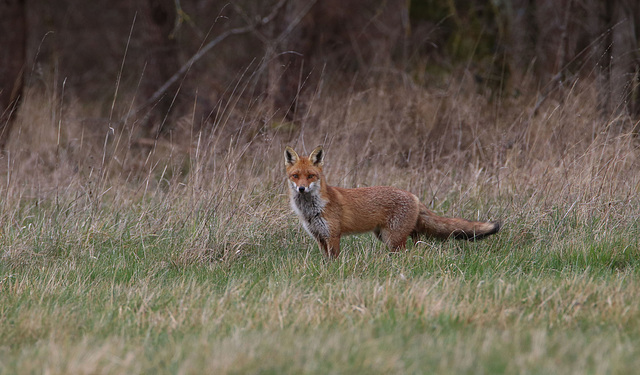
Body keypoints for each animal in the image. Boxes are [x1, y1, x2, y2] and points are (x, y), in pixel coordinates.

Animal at [284, 146, 500, 258]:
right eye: (295, 176)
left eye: (311, 176)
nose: (302, 188)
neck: (312, 210)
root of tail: (413, 196)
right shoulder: (319, 237)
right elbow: (325, 260)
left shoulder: (333, 235)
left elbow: (334, 259)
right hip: (386, 236)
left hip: (393, 238)